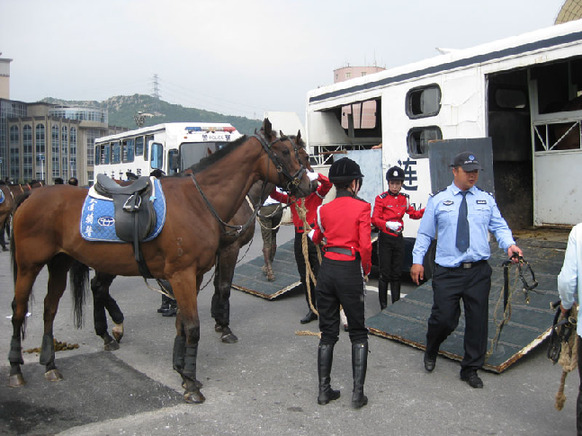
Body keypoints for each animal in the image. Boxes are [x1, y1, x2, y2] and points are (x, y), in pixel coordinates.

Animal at [8, 121, 314, 404]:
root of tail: (32, 194)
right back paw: (17, 369)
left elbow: (183, 323)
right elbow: (195, 322)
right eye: (285, 152)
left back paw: (54, 361)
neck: (199, 201)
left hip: (60, 263)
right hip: (29, 266)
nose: (309, 185)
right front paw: (193, 377)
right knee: (21, 310)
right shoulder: (189, 271)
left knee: (51, 308)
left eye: (303, 154)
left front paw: (183, 370)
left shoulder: (194, 274)